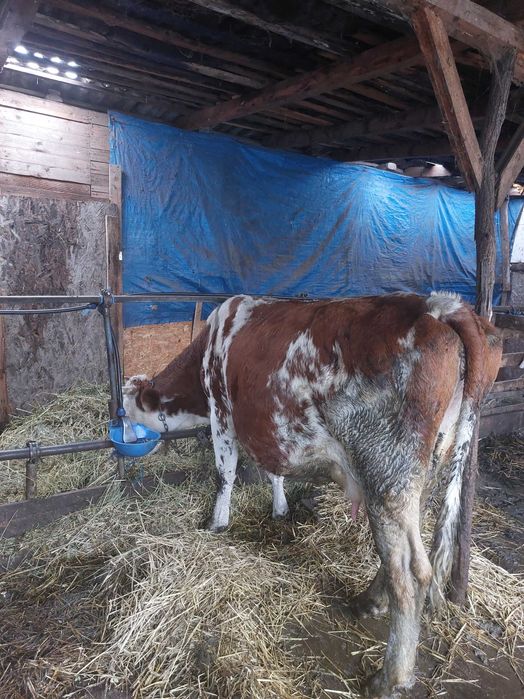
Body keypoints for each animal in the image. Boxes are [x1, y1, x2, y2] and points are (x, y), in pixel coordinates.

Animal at [123, 292, 502, 698]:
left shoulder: (222, 412)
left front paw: (216, 524)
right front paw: (279, 508)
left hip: (387, 468)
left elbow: (225, 473)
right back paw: (369, 601)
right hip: (426, 467)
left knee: (412, 574)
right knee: (402, 554)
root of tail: (441, 306)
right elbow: (274, 472)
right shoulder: (269, 427)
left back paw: (390, 678)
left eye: (126, 410)